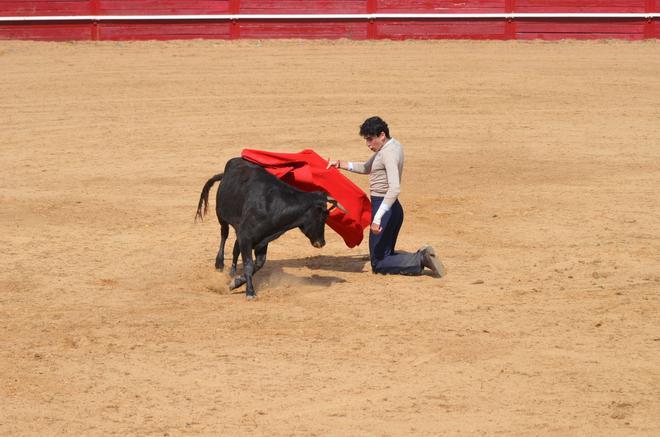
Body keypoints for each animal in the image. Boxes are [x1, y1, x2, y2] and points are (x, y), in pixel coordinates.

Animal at [195, 158, 346, 298]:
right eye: (323, 217)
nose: (321, 243)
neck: (274, 205)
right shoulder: (246, 237)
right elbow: (249, 264)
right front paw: (250, 292)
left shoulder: (260, 240)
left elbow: (258, 264)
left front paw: (235, 283)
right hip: (221, 217)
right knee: (224, 235)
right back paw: (219, 264)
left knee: (235, 249)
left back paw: (231, 274)